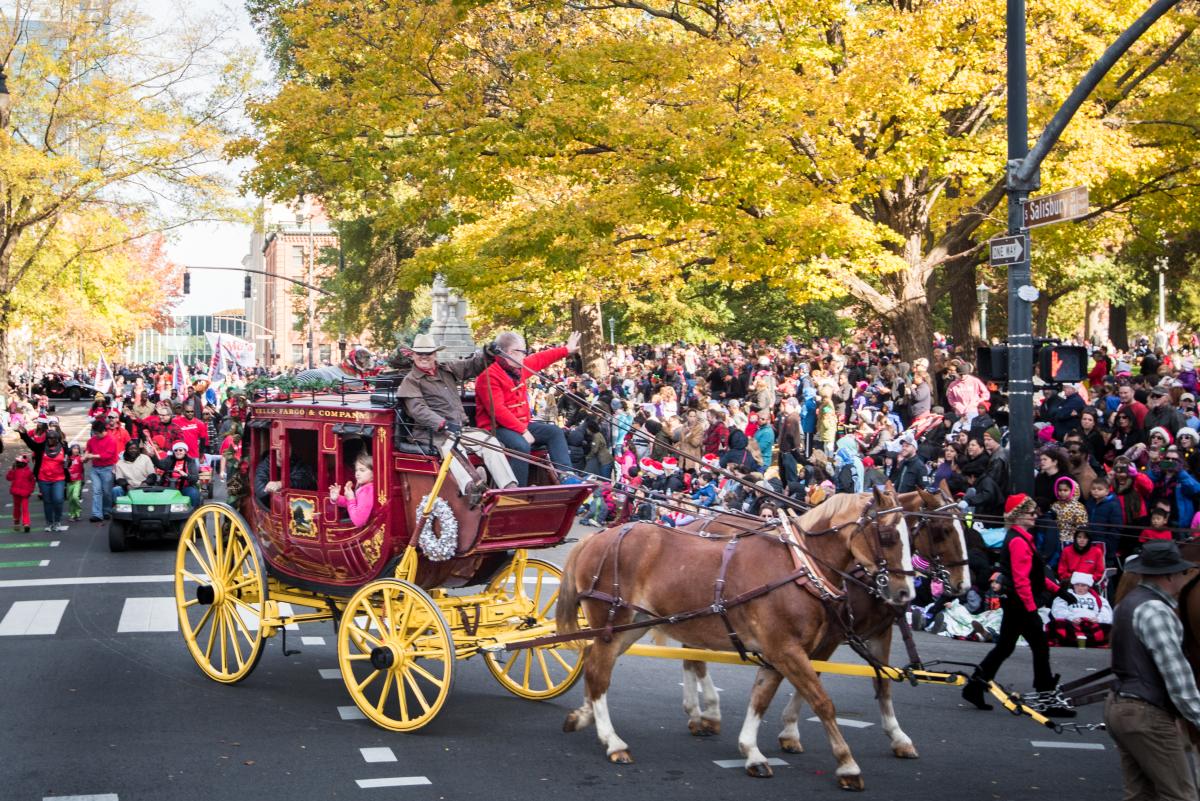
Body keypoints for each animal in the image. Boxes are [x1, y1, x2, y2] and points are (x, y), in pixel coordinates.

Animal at [556, 484, 912, 791]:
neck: (800, 568)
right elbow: (822, 702)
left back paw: (584, 718)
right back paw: (613, 741)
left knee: (597, 667)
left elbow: (761, 699)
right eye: (888, 536)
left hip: (632, 625)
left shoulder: (778, 653)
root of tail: (597, 538)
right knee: (598, 674)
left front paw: (751, 752)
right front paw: (847, 765)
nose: (905, 593)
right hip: (612, 623)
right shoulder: (787, 650)